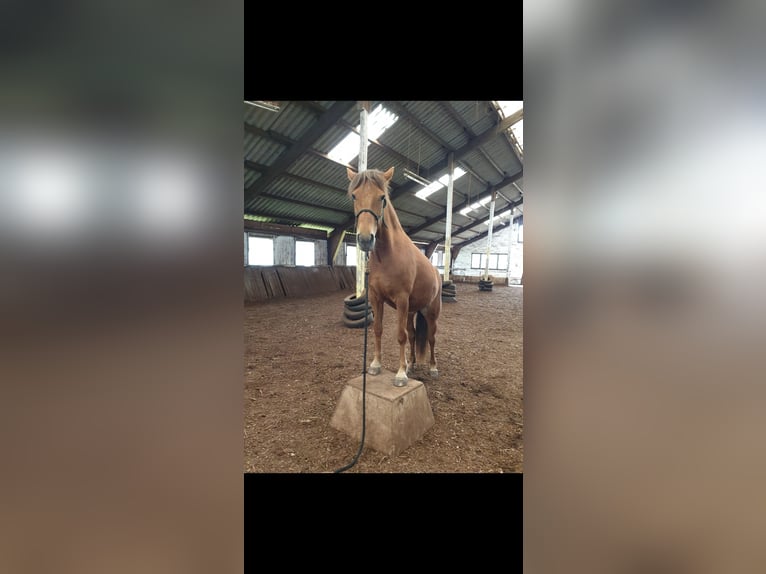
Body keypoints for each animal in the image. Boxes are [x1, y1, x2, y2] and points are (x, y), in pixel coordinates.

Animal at [347, 166, 442, 387]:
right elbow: (378, 329)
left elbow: (400, 336)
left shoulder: (401, 299)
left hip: (430, 312)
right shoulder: (376, 298)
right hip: (411, 311)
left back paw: (432, 368)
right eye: (354, 196)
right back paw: (412, 364)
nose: (366, 239)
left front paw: (400, 374)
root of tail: (436, 273)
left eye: (382, 197)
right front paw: (376, 365)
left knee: (431, 337)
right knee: (414, 335)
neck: (387, 255)